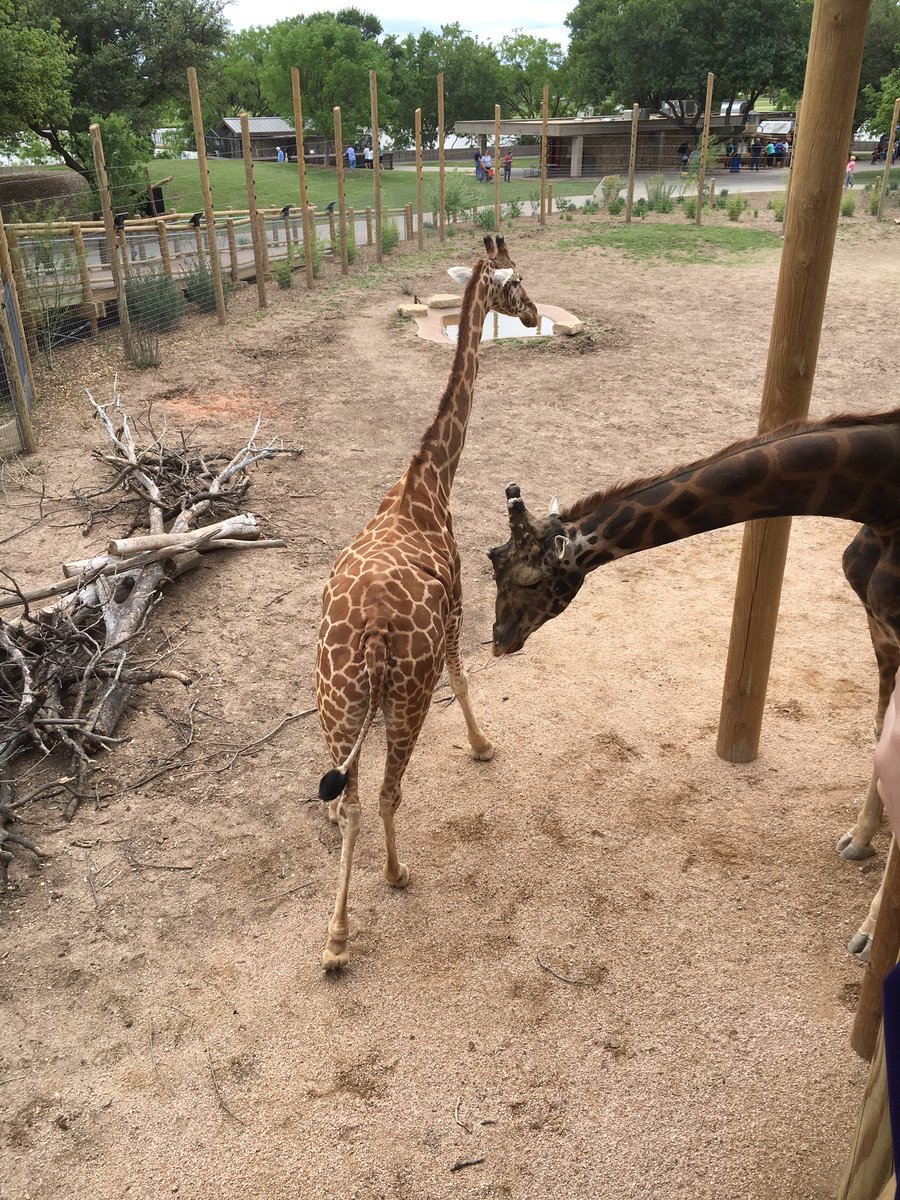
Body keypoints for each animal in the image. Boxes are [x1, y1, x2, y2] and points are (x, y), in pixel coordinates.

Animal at [315, 235, 537, 971]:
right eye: (517, 282)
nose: (534, 315)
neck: (425, 486)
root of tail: (369, 641)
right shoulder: (462, 599)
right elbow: (465, 678)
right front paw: (483, 746)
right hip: (403, 697)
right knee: (385, 792)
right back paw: (393, 876)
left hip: (337, 702)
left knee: (347, 800)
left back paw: (334, 940)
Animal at [486, 411, 900, 960]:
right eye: (493, 565)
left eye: (531, 580)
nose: (499, 640)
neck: (882, 499)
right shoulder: (879, 625)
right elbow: (878, 736)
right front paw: (859, 840)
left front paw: (873, 935)